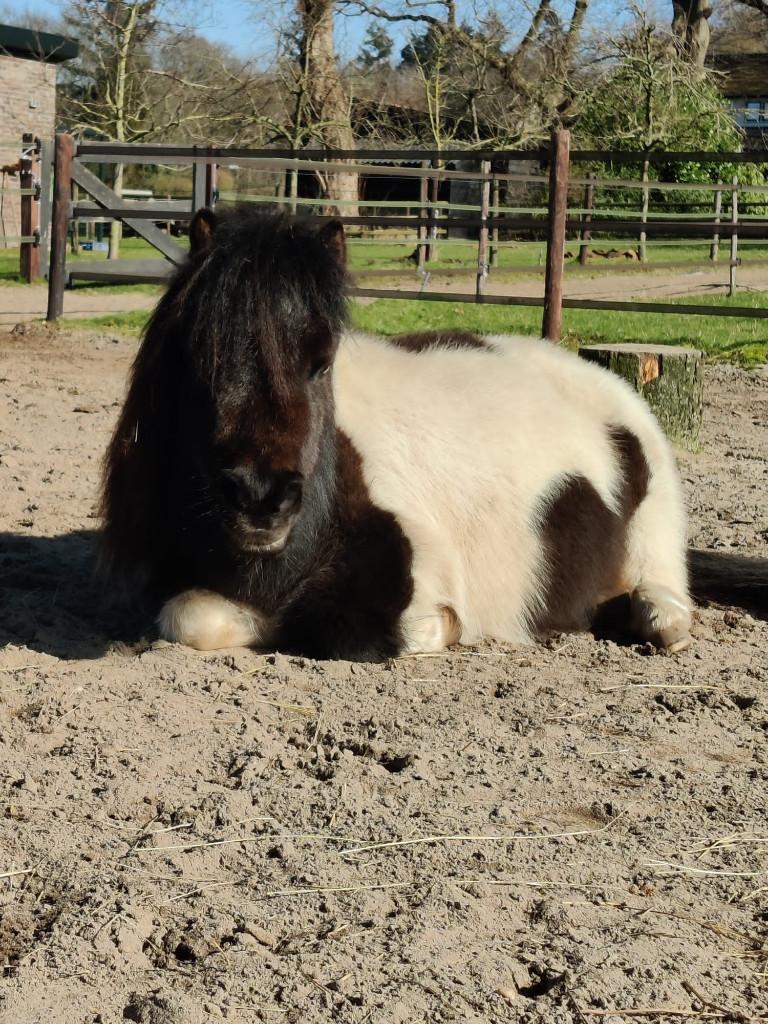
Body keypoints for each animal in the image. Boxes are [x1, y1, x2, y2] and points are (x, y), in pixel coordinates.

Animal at [100, 208, 693, 661]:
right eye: (201, 359)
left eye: (322, 363)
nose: (260, 498)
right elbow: (190, 615)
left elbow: (348, 627)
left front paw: (446, 627)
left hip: (655, 536)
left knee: (665, 605)